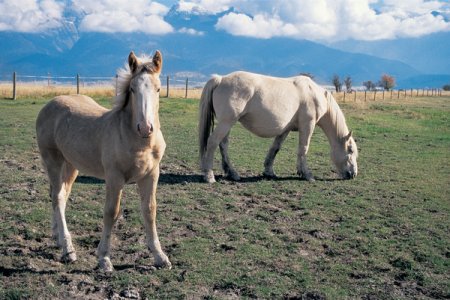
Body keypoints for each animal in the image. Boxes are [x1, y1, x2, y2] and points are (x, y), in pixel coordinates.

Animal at [35, 49, 171, 272]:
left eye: (158, 89)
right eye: (132, 89)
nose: (145, 128)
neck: (139, 143)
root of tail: (51, 103)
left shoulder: (151, 175)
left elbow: (150, 211)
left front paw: (160, 257)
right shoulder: (114, 177)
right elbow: (111, 212)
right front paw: (104, 259)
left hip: (71, 165)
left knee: (59, 196)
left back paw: (58, 238)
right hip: (52, 160)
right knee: (58, 197)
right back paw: (68, 250)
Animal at [200, 71, 358, 183]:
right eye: (350, 150)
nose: (353, 174)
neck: (314, 94)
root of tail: (221, 79)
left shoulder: (285, 130)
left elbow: (275, 148)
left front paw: (269, 171)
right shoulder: (308, 125)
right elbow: (303, 148)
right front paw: (306, 174)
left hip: (227, 124)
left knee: (223, 145)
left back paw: (232, 173)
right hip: (226, 122)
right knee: (213, 142)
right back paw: (209, 175)